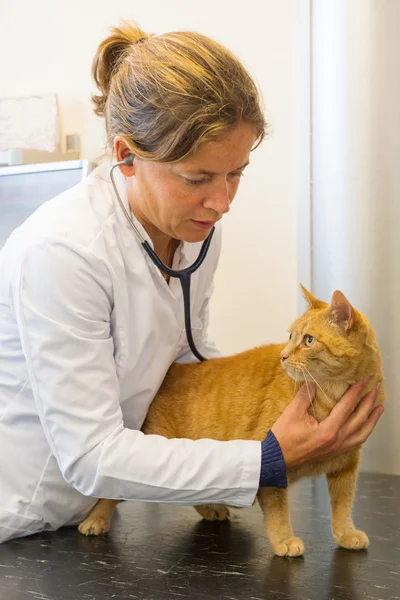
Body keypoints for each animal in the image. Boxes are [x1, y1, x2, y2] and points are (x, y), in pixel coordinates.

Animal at [78, 288, 384, 556]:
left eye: (308, 340)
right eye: (290, 336)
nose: (283, 356)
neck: (332, 395)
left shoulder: (347, 464)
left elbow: (342, 505)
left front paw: (346, 534)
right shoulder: (274, 465)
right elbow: (278, 511)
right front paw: (284, 541)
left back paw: (211, 508)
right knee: (113, 489)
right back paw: (96, 520)